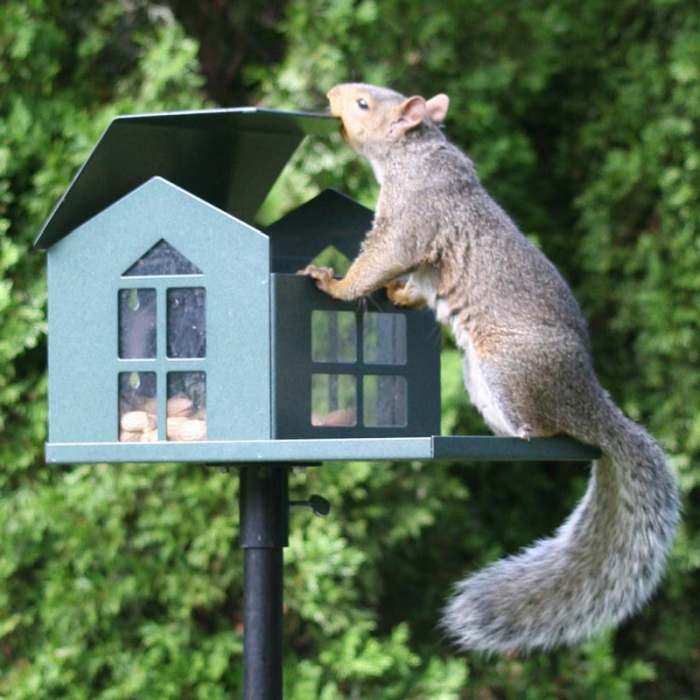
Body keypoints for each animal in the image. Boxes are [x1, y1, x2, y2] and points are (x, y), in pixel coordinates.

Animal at [299, 82, 681, 654]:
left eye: (364, 103)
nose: (331, 93)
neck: (413, 155)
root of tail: (590, 402)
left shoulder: (411, 220)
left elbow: (379, 261)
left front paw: (337, 284)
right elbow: (412, 282)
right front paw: (399, 295)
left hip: (508, 368)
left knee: (552, 429)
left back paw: (530, 433)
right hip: (481, 381)